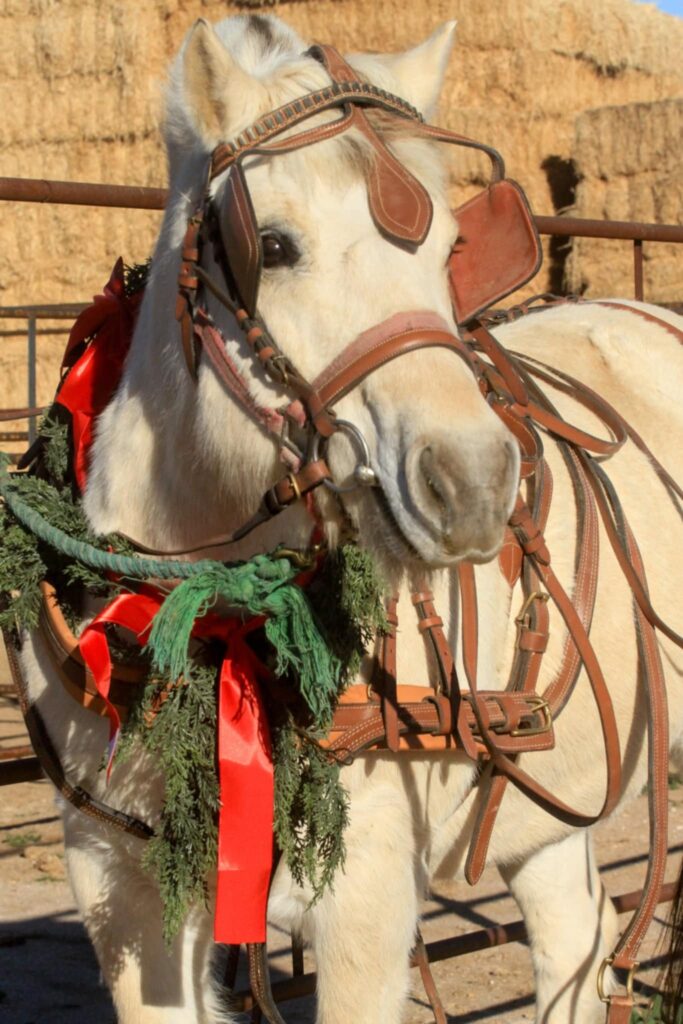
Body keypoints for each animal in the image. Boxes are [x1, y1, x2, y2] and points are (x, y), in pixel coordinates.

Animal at [17, 13, 683, 1024]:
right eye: (274, 245)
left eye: (449, 247)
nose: (474, 483)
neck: (210, 619)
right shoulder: (116, 879)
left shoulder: (363, 896)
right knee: (575, 935)